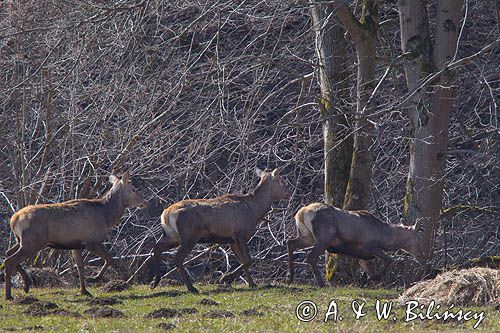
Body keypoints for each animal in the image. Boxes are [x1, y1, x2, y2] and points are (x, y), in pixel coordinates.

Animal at [2, 171, 146, 298]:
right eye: (133, 189)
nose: (145, 202)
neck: (106, 216)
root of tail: (14, 219)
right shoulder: (92, 241)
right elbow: (110, 259)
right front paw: (94, 278)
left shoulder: (76, 245)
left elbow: (80, 267)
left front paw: (84, 291)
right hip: (33, 242)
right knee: (9, 260)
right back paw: (10, 295)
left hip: (21, 240)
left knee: (8, 253)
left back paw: (25, 285)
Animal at [147, 167, 290, 292]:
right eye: (282, 180)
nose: (288, 194)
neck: (255, 211)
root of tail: (166, 214)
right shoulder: (239, 234)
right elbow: (248, 260)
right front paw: (225, 278)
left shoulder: (232, 240)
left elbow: (243, 261)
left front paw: (252, 284)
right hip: (190, 236)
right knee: (177, 258)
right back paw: (191, 288)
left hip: (172, 236)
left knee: (156, 248)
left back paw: (155, 282)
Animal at [286, 201, 426, 286]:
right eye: (418, 238)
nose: (421, 255)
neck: (385, 238)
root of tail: (302, 213)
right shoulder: (370, 245)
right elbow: (389, 260)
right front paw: (376, 277)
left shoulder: (362, 256)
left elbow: (368, 270)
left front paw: (373, 281)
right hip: (324, 237)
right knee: (310, 257)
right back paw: (320, 283)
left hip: (308, 236)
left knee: (290, 242)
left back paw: (290, 277)